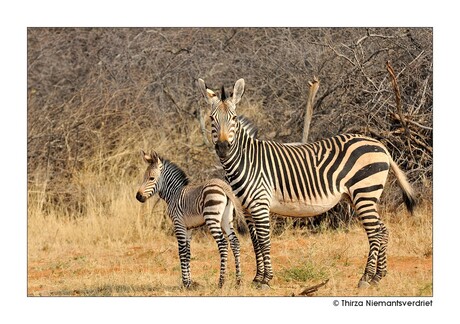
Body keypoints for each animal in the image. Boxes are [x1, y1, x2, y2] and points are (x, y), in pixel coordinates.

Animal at [136, 150, 244, 288]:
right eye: (144, 177)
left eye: (151, 178)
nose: (138, 196)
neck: (174, 194)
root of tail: (223, 185)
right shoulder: (189, 228)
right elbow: (188, 253)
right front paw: (190, 282)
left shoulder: (178, 224)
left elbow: (182, 252)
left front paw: (185, 283)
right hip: (226, 219)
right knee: (235, 242)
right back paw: (238, 281)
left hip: (212, 218)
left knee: (223, 244)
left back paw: (221, 282)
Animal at [197, 78, 416, 288]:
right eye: (211, 119)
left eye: (234, 118)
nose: (223, 148)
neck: (247, 161)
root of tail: (380, 145)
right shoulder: (247, 208)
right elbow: (255, 242)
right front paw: (257, 278)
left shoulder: (260, 204)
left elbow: (264, 241)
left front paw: (266, 280)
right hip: (360, 197)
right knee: (383, 230)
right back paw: (378, 276)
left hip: (365, 192)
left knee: (375, 233)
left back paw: (366, 278)